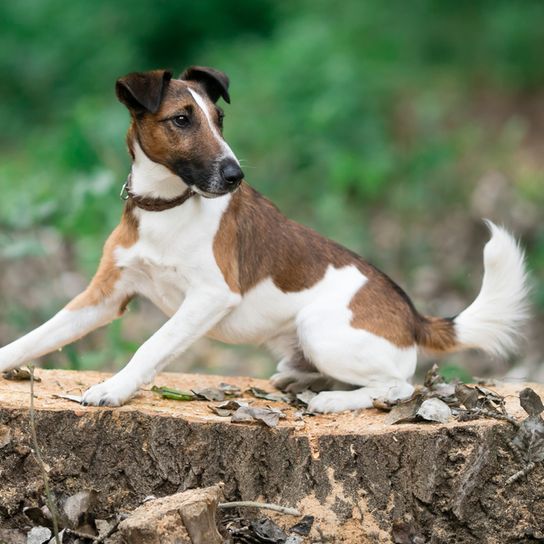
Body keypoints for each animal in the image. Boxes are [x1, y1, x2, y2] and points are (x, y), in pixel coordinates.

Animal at [0, 66, 528, 412]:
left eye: (219, 120)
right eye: (182, 119)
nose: (235, 175)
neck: (167, 207)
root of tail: (414, 317)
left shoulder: (211, 296)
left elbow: (151, 345)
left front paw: (114, 389)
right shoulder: (105, 295)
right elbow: (36, 336)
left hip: (319, 327)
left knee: (400, 385)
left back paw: (332, 399)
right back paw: (299, 380)